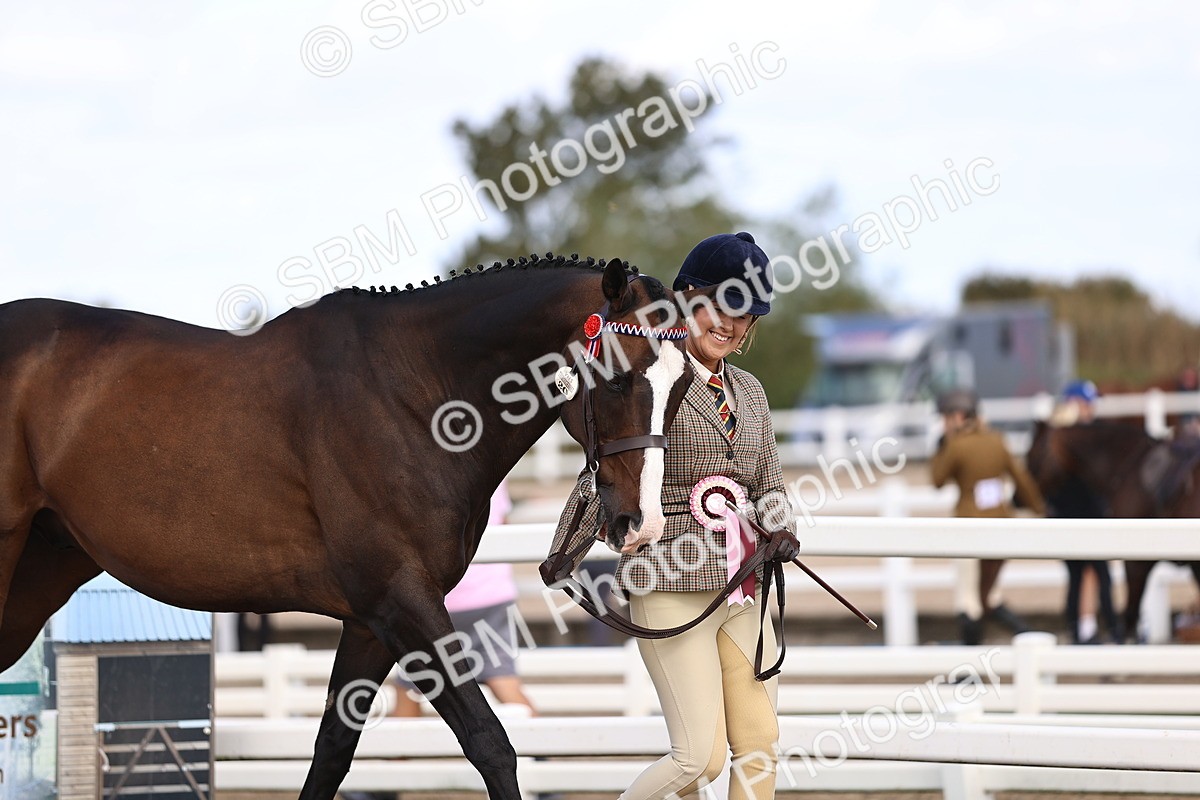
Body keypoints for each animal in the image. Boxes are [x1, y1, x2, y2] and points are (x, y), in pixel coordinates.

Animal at [0, 254, 700, 800]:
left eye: (682, 384)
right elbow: (490, 743)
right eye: (618, 378)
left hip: (42, 569)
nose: (639, 523)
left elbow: (332, 751)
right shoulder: (401, 601)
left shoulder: (372, 620)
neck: (414, 396)